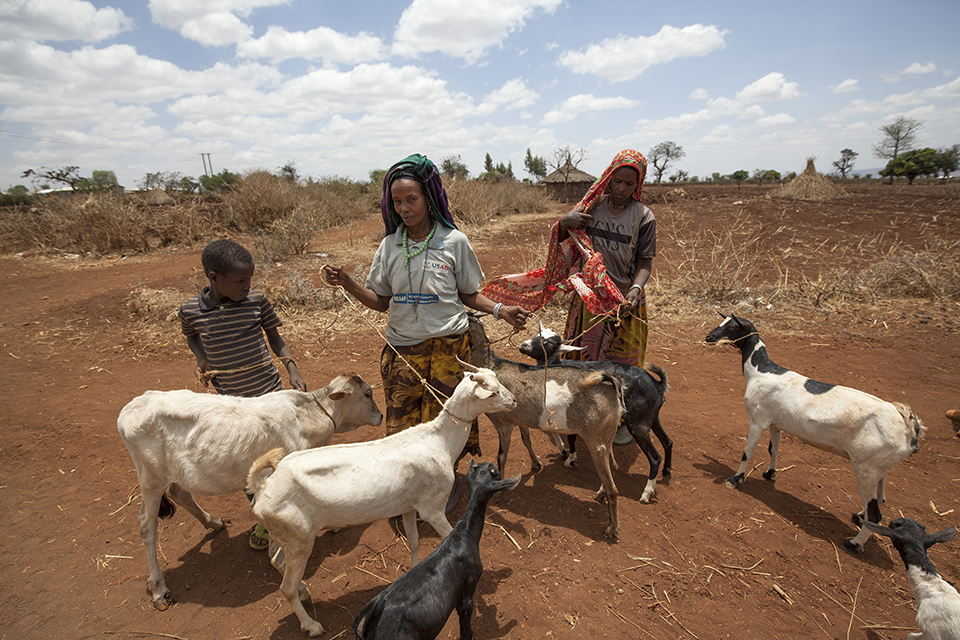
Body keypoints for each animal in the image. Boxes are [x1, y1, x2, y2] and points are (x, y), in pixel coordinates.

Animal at [115, 376, 378, 608]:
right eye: (368, 394)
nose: (381, 415)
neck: (308, 417)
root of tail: (130, 408)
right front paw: (301, 588)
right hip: (151, 479)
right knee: (147, 526)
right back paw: (159, 588)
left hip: (172, 474)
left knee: (181, 495)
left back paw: (213, 523)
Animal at [352, 460, 520, 640]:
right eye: (494, 472)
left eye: (482, 468)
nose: (488, 463)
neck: (463, 534)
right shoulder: (468, 587)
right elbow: (465, 619)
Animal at [520, 330, 672, 504]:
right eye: (536, 333)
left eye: (549, 344)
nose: (523, 345)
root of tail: (658, 386)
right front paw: (565, 452)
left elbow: (568, 436)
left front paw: (570, 457)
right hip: (650, 418)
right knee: (668, 442)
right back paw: (667, 470)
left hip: (638, 425)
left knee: (655, 458)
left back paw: (646, 493)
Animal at [704, 316, 924, 552]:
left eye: (732, 326)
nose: (709, 337)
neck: (761, 371)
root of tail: (909, 426)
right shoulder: (775, 423)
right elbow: (774, 449)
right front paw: (770, 473)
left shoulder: (758, 420)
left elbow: (747, 452)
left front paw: (735, 478)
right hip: (881, 467)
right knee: (879, 498)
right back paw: (859, 516)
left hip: (867, 468)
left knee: (875, 514)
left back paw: (854, 543)